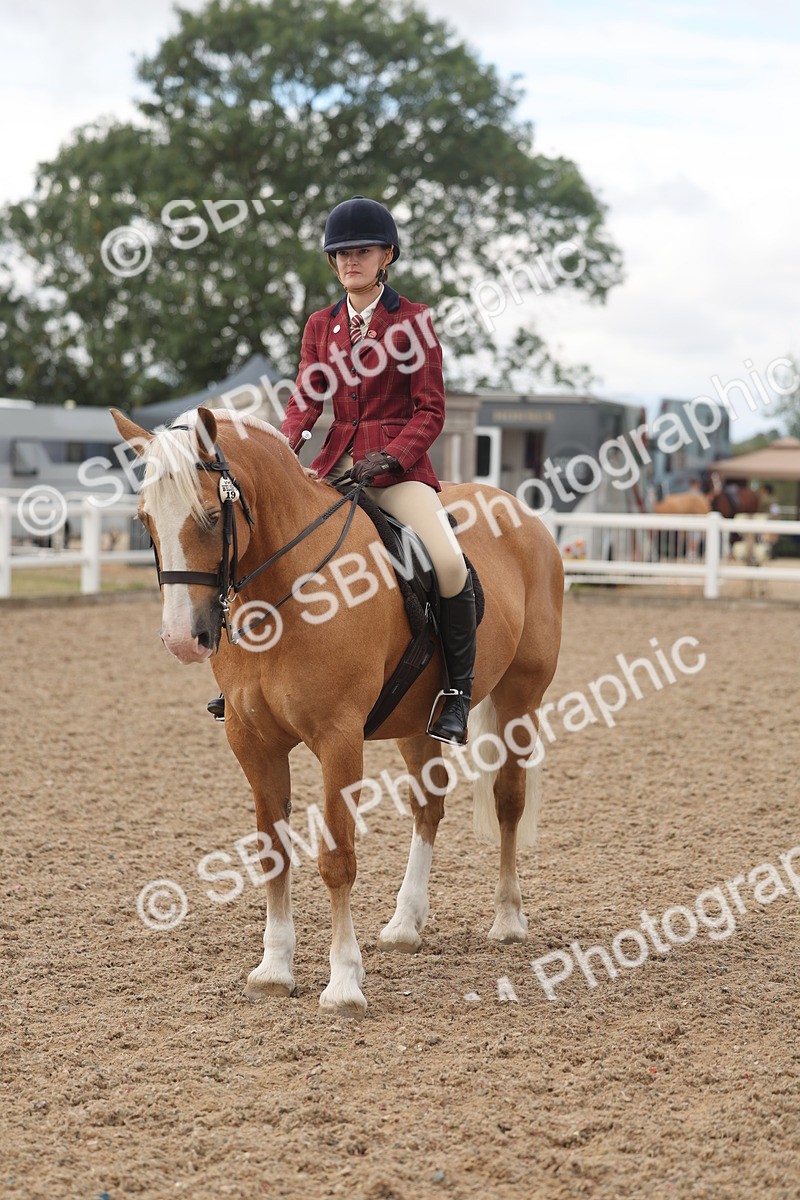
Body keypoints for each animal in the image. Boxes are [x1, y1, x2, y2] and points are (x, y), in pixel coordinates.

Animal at [111, 406, 563, 1017]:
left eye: (208, 515)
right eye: (145, 521)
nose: (184, 639)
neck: (287, 589)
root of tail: (519, 510)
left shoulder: (338, 740)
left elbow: (337, 858)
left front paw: (345, 982)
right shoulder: (252, 743)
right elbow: (273, 851)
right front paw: (274, 969)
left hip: (521, 698)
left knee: (508, 799)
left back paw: (509, 918)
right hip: (416, 721)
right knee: (429, 804)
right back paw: (404, 924)